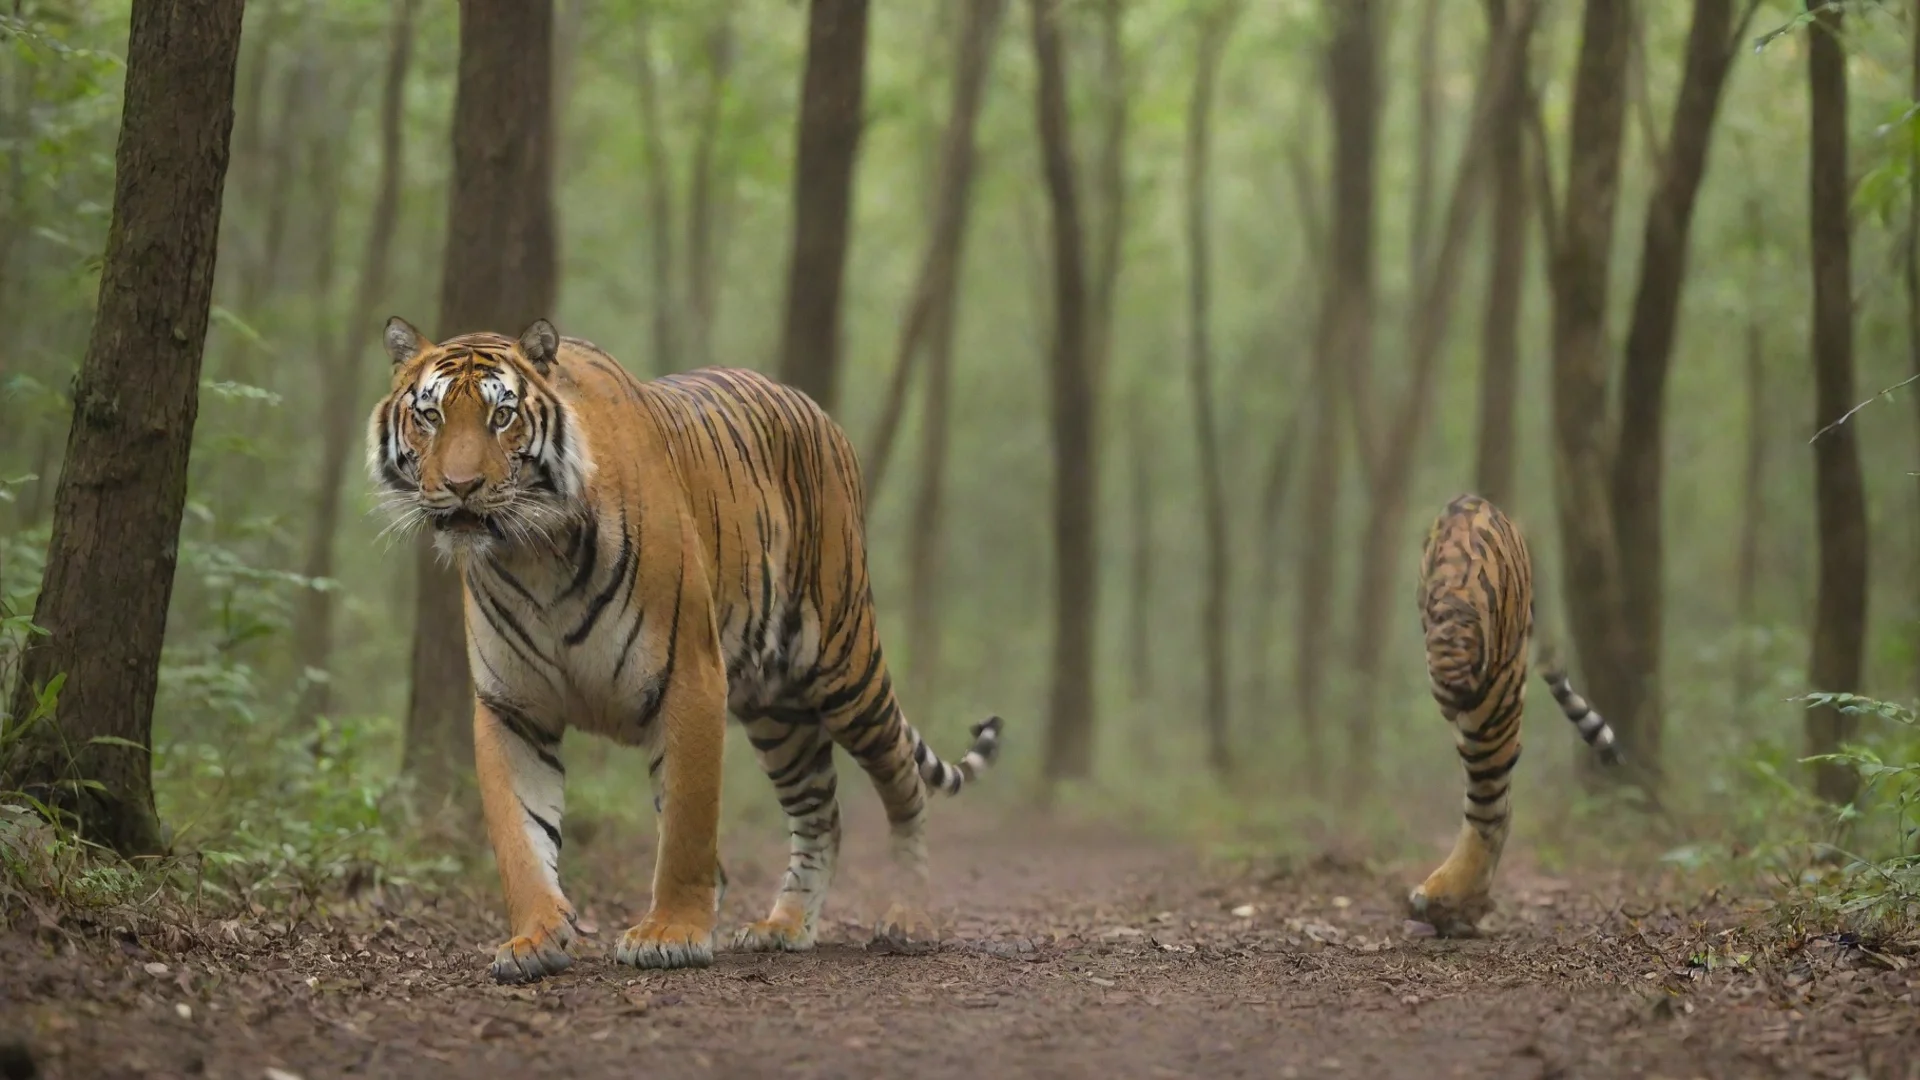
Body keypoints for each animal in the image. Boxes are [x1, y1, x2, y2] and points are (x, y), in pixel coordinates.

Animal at [367, 316, 1004, 983]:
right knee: (819, 812)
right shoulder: (511, 706)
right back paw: (784, 926)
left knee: (902, 780)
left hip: (845, 662)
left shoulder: (690, 677)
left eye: (501, 416)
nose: (461, 488)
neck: (532, 554)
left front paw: (670, 933)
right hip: (775, 710)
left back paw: (908, 915)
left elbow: (686, 826)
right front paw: (534, 937)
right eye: (431, 416)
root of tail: (819, 414)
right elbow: (520, 834)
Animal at [1407, 492, 1619, 937]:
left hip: (1497, 709)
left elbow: (1488, 807)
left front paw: (1450, 901)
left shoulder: (1495, 705)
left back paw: (1445, 903)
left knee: (1490, 807)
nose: (1454, 690)